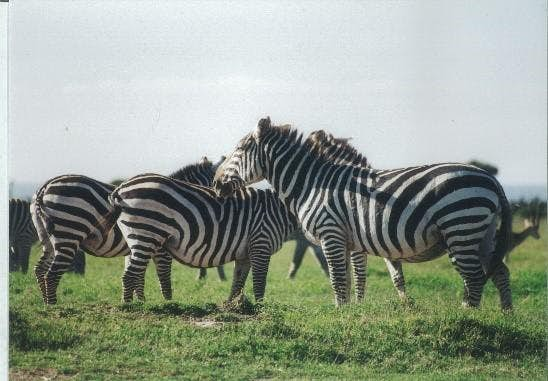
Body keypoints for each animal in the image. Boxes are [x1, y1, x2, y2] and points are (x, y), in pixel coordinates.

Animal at [29, 155, 223, 302]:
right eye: (217, 183)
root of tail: (45, 187)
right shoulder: (159, 247)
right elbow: (162, 274)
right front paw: (167, 302)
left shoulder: (137, 247)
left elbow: (137, 276)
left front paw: (138, 301)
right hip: (68, 232)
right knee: (51, 274)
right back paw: (53, 305)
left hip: (47, 238)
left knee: (40, 269)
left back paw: (44, 302)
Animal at [106, 173, 300, 302]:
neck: (278, 210)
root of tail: (120, 188)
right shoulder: (261, 242)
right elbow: (259, 282)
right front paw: (259, 309)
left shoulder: (246, 252)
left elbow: (238, 281)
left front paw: (233, 307)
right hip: (146, 233)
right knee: (129, 275)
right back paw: (129, 308)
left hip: (138, 237)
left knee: (134, 272)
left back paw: (140, 303)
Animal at [212, 117, 512, 310]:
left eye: (238, 150)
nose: (215, 184)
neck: (312, 184)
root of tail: (490, 178)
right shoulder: (346, 239)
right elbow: (346, 277)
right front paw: (349, 311)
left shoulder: (331, 232)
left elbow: (338, 277)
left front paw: (340, 314)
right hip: (482, 233)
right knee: (499, 271)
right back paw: (505, 315)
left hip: (461, 226)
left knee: (474, 276)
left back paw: (468, 316)